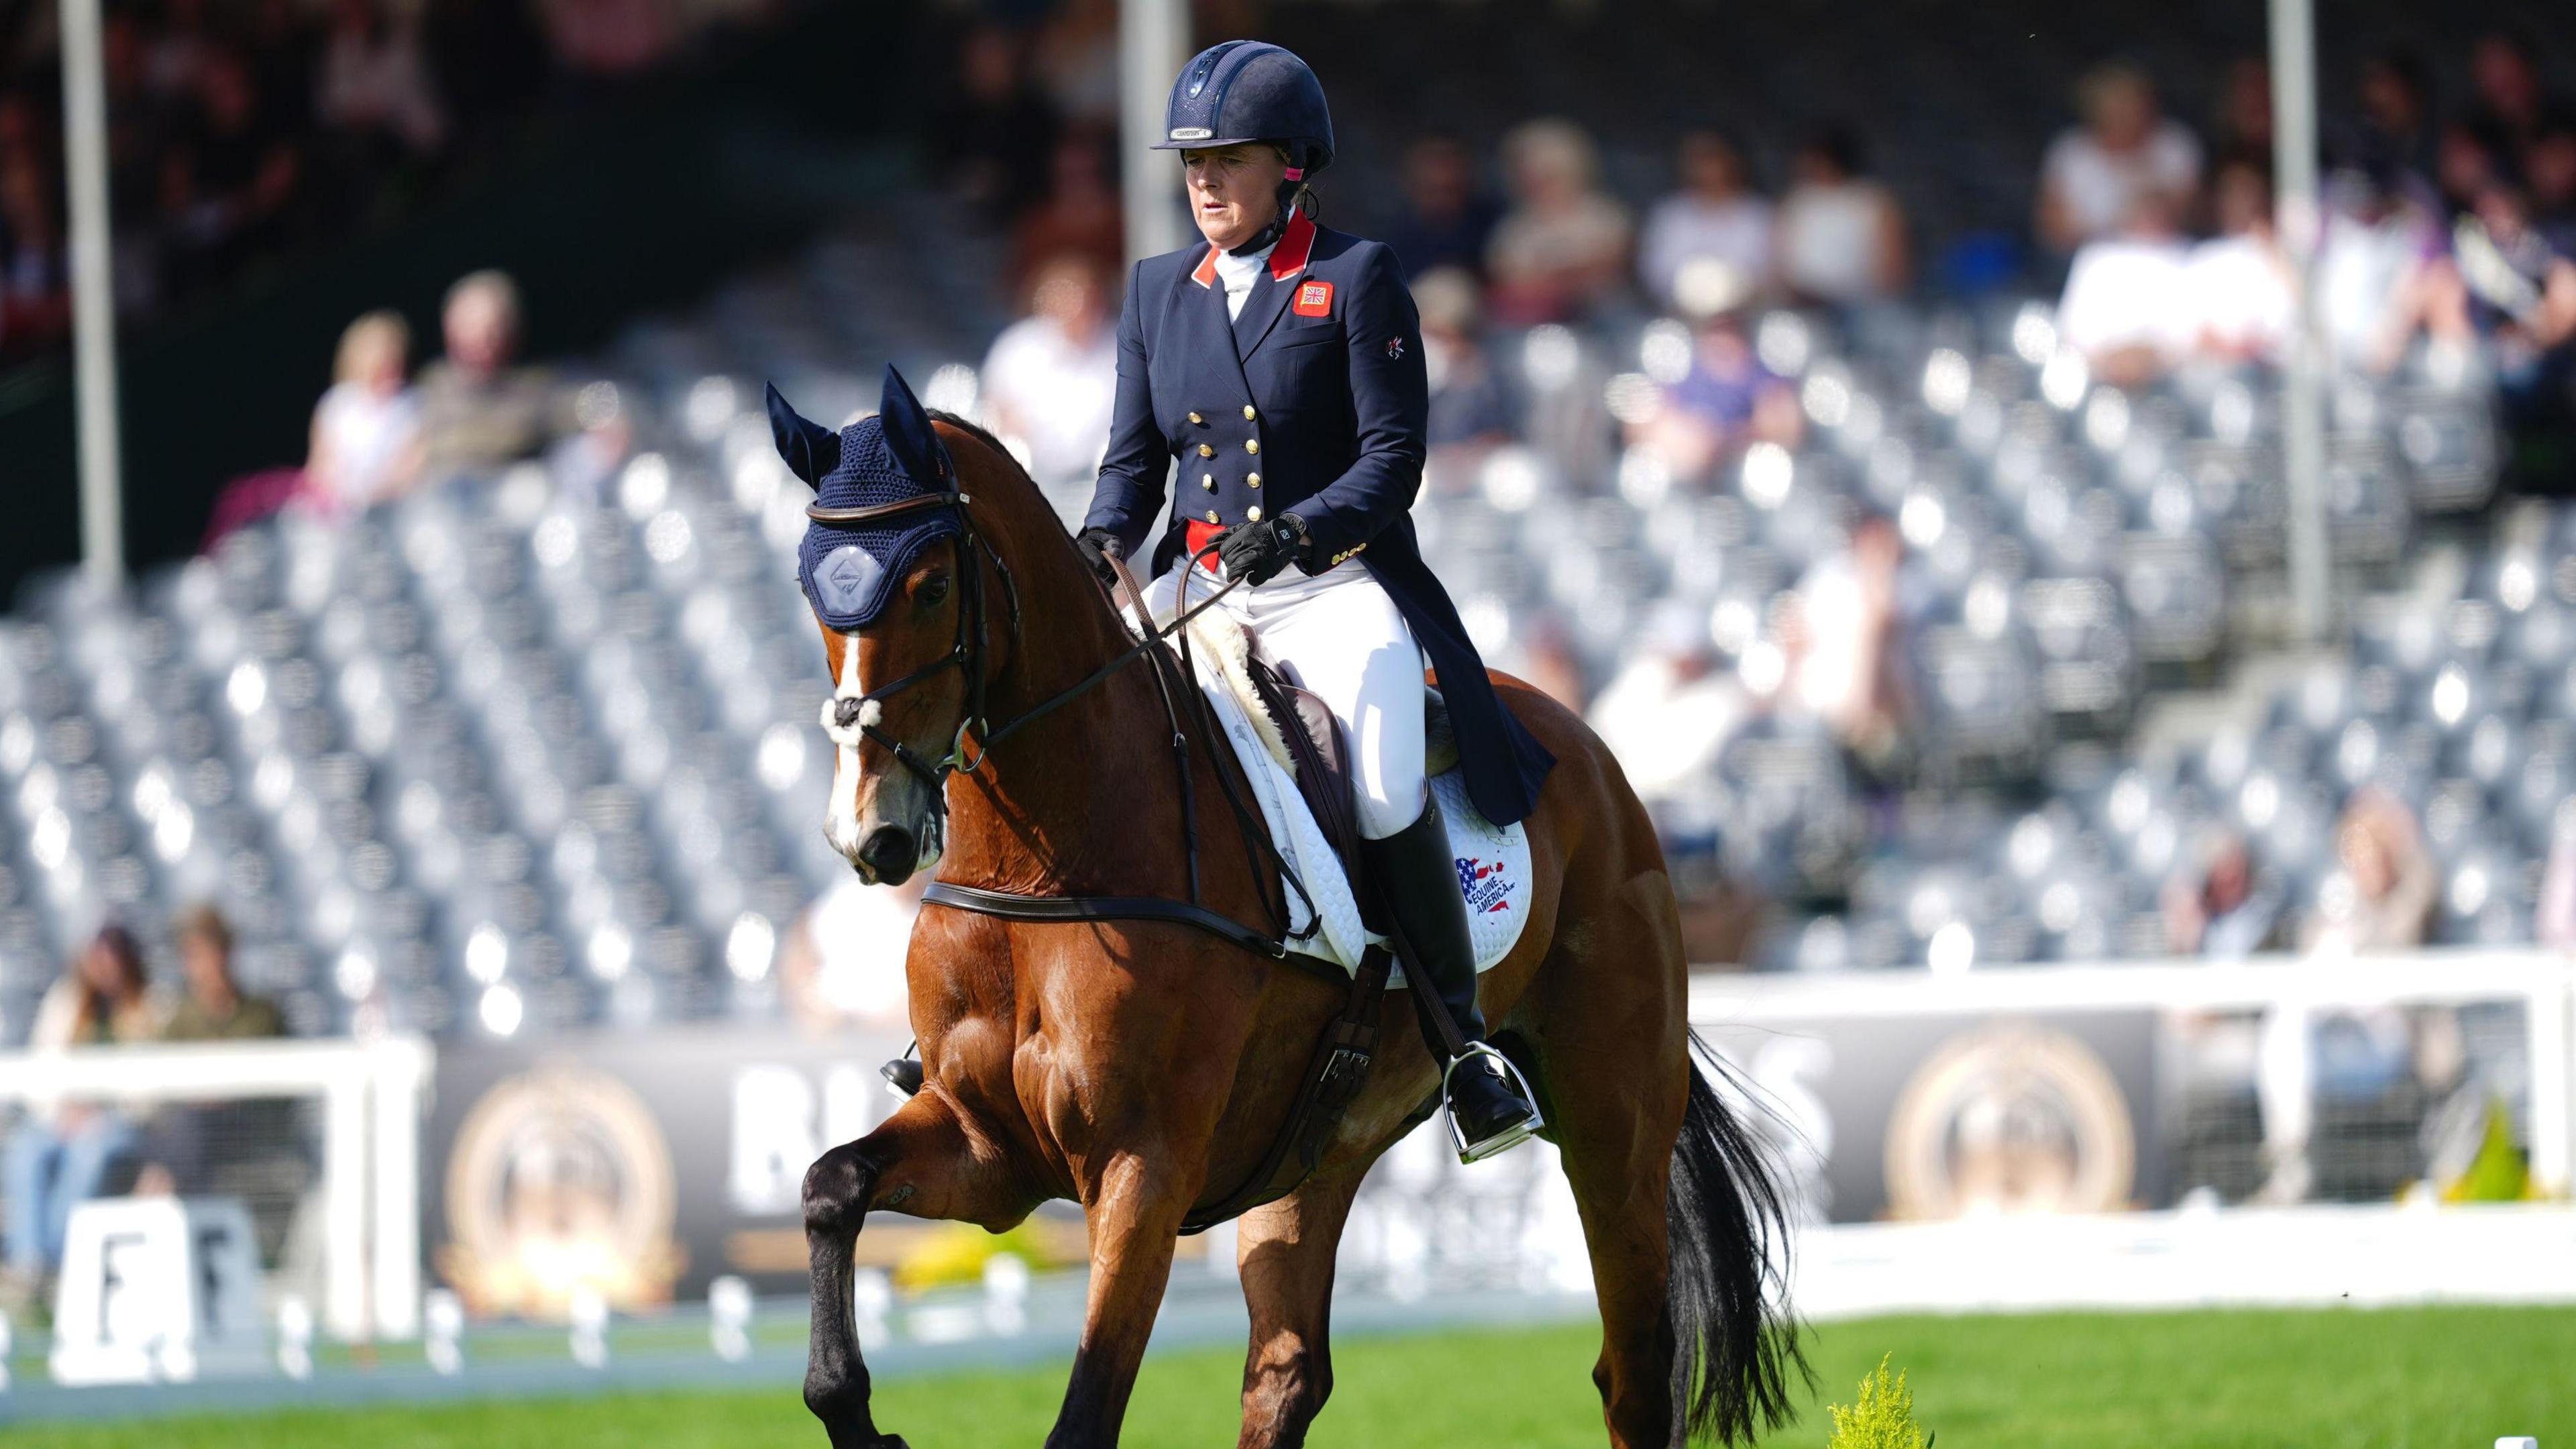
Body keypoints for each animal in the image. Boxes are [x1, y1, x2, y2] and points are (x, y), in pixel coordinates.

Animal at [773, 378, 1803, 1433]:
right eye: (812, 590)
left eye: (932, 586)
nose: (869, 832)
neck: (1042, 871)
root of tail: (1586, 748)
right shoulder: (990, 1150)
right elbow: (829, 1186)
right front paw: (854, 1410)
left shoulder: (1142, 1168)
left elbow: (1088, 1406)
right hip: (1319, 1144)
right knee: (1287, 1368)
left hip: (1611, 1118)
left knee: (1634, 1368)